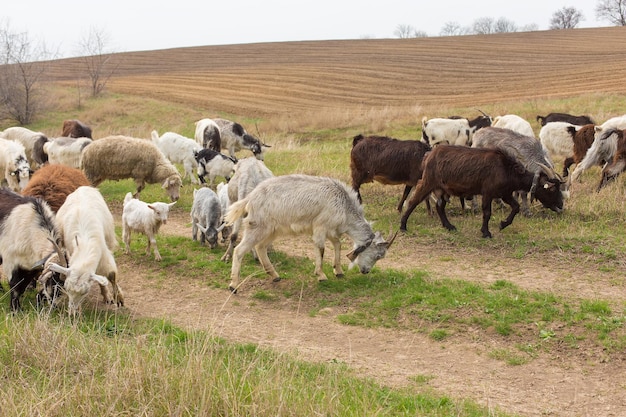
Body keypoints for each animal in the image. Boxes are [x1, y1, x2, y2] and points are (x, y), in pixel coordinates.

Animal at [223, 174, 394, 290]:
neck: (344, 206)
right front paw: (321, 275)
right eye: (378, 255)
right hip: (257, 226)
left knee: (261, 247)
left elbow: (337, 245)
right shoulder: (320, 226)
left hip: (272, 230)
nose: (365, 271)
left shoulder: (331, 229)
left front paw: (338, 271)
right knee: (240, 250)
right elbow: (321, 248)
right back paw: (233, 285)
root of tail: (250, 198)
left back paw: (275, 276)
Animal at [398, 145, 564, 237]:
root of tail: (429, 155)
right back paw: (403, 226)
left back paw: (449, 226)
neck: (507, 169)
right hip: (428, 182)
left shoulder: (504, 193)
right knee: (414, 201)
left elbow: (516, 207)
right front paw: (486, 232)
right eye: (552, 189)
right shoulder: (488, 193)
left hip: (443, 189)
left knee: (440, 206)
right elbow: (487, 212)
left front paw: (503, 224)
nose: (561, 205)